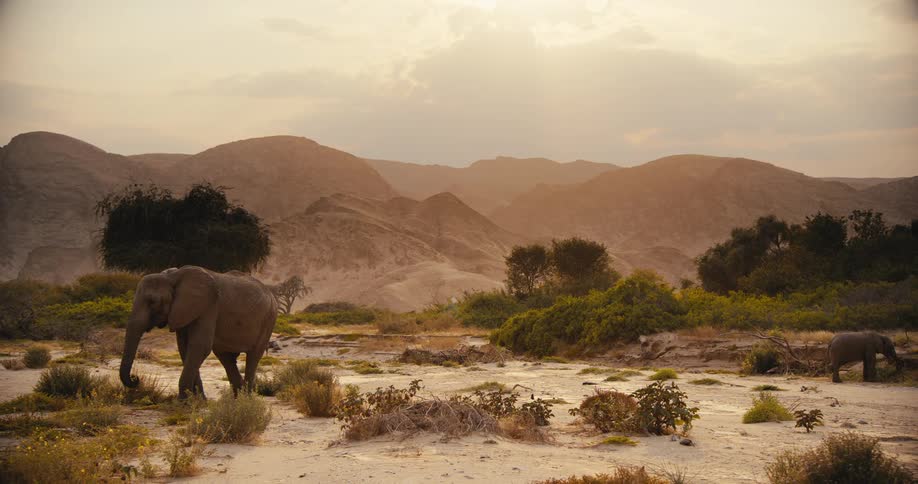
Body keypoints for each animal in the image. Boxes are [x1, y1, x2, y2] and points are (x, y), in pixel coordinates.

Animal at [120, 266, 277, 398]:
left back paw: (247, 399)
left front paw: (184, 402)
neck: (172, 277)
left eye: (152, 301)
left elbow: (199, 346)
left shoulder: (209, 306)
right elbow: (185, 349)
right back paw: (238, 398)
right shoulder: (183, 311)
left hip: (269, 319)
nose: (135, 378)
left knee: (253, 356)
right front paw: (198, 400)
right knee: (226, 357)